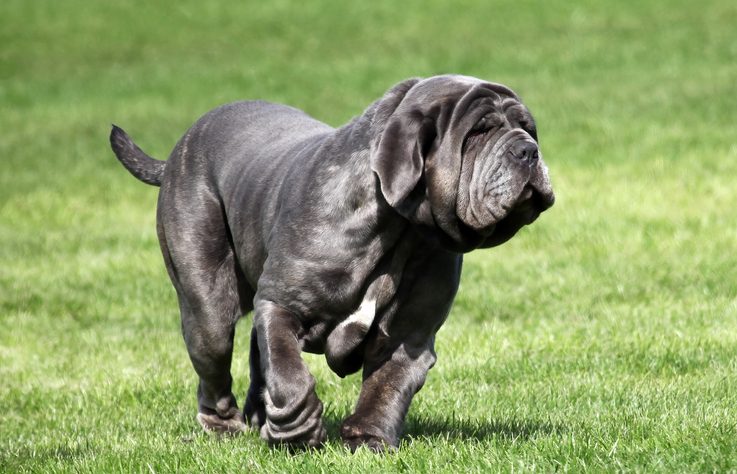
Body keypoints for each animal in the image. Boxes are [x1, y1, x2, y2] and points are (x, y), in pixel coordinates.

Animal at [110, 75, 552, 452]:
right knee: (216, 361)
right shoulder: (282, 304)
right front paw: (299, 431)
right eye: (478, 132)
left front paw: (368, 438)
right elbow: (288, 372)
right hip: (208, 311)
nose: (527, 149)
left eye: (528, 127)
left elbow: (386, 389)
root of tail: (177, 151)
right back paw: (226, 427)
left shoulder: (409, 337)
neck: (403, 229)